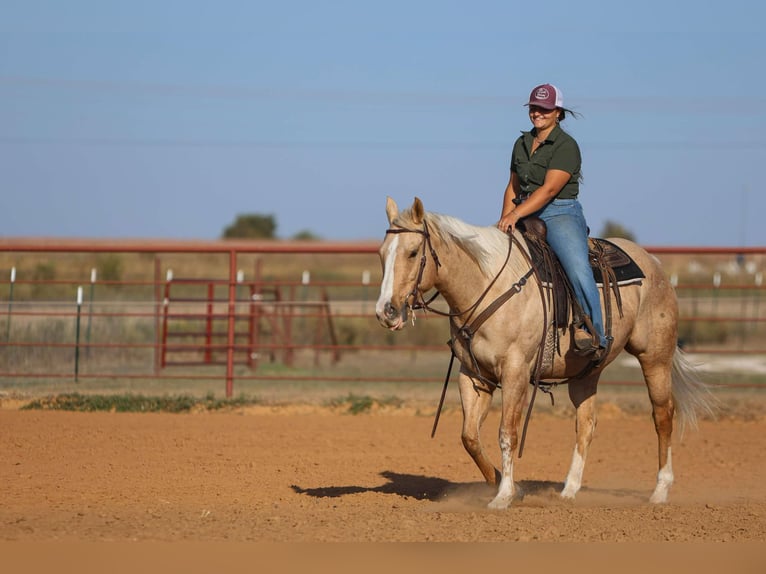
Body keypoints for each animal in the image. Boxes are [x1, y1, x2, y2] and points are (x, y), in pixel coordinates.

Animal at [375, 196, 716, 509]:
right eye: (381, 254)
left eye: (413, 252)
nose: (385, 311)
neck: (488, 285)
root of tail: (654, 264)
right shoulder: (473, 374)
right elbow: (469, 437)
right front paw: (508, 486)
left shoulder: (515, 372)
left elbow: (507, 433)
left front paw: (503, 496)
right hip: (586, 373)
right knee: (586, 424)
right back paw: (569, 490)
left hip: (655, 358)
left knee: (662, 415)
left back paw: (659, 491)